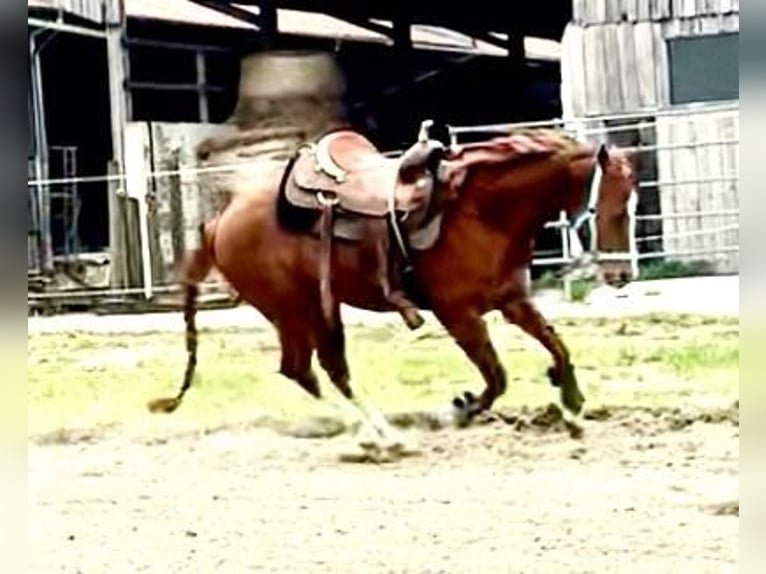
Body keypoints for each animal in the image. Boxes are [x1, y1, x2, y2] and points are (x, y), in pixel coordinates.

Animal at [147, 122, 638, 458]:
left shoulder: (512, 301)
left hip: (315, 309)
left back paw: (375, 432)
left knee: (312, 371)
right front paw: (459, 409)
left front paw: (570, 404)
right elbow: (496, 377)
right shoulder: (457, 313)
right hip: (293, 307)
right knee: (312, 370)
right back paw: (379, 437)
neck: (479, 208)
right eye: (611, 208)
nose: (620, 275)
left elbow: (557, 346)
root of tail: (220, 220)